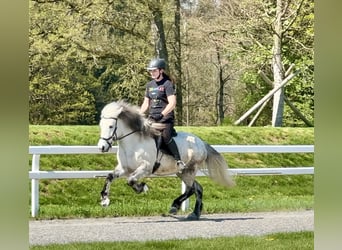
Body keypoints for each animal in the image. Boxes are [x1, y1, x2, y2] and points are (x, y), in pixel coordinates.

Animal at [97, 100, 235, 220]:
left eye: (111, 126)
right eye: (100, 126)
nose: (101, 147)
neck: (134, 143)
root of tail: (201, 142)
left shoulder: (145, 168)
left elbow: (131, 180)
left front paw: (142, 188)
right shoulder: (124, 168)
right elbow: (110, 177)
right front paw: (105, 200)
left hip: (190, 169)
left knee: (190, 189)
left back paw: (175, 206)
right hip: (182, 172)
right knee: (197, 188)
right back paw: (195, 213)